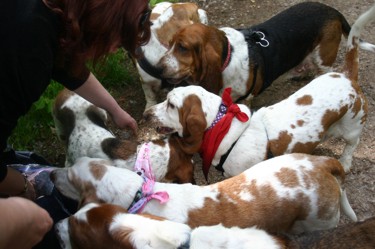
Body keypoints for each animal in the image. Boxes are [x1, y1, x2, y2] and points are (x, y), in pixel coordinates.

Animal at [142, 1, 374, 178]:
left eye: (183, 48)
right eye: (169, 42)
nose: (145, 115)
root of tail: (346, 75)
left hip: (347, 117)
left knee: (351, 144)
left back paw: (345, 162)